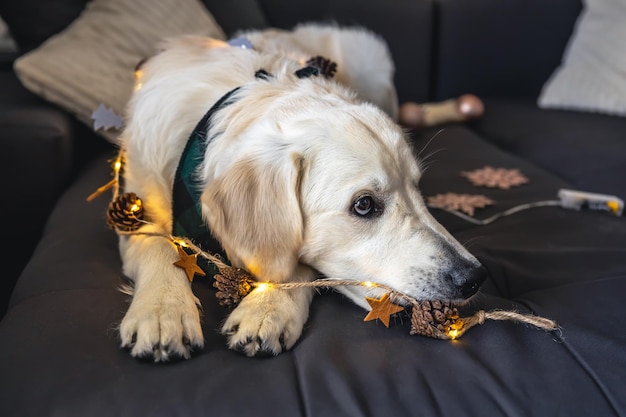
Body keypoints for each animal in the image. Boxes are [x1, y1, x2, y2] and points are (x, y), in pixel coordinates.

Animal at [118, 22, 488, 360]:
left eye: (416, 188)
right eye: (364, 205)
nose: (475, 278)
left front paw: (268, 309)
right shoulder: (135, 203)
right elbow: (157, 246)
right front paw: (162, 311)